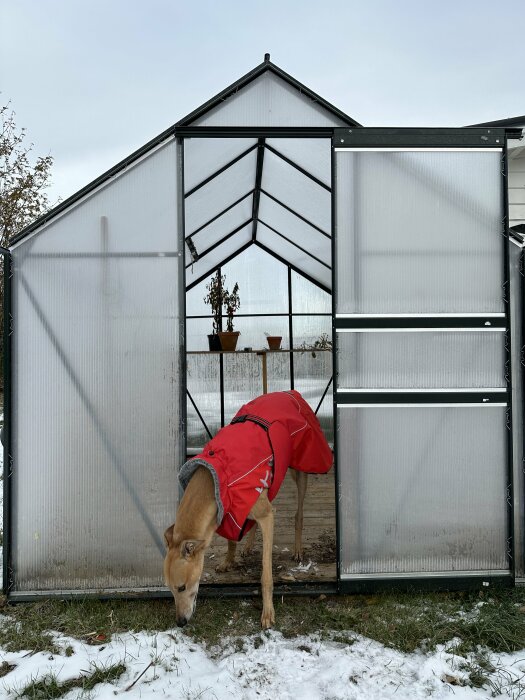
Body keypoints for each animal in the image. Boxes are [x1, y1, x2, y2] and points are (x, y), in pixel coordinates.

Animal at [163, 388, 332, 628]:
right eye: (169, 589)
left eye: (182, 587)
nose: (180, 622)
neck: (215, 478)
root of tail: (288, 391)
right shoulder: (230, 507)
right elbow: (232, 538)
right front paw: (228, 560)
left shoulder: (265, 515)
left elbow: (266, 574)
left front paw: (268, 612)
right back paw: (249, 544)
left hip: (301, 466)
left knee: (299, 512)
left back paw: (298, 548)